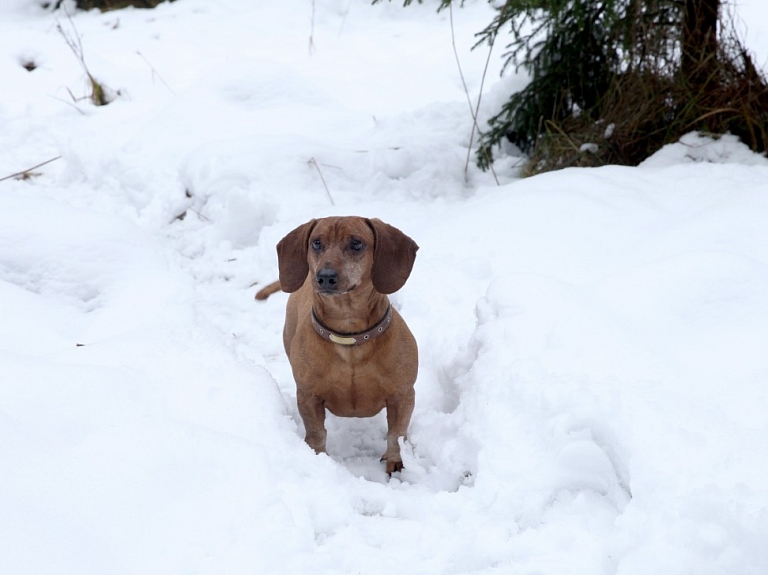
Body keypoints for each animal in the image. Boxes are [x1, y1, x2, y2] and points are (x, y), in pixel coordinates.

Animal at [256, 216, 420, 472]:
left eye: (356, 243)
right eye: (316, 242)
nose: (324, 276)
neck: (349, 335)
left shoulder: (403, 396)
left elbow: (396, 435)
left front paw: (396, 462)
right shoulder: (308, 397)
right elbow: (316, 433)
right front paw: (317, 458)